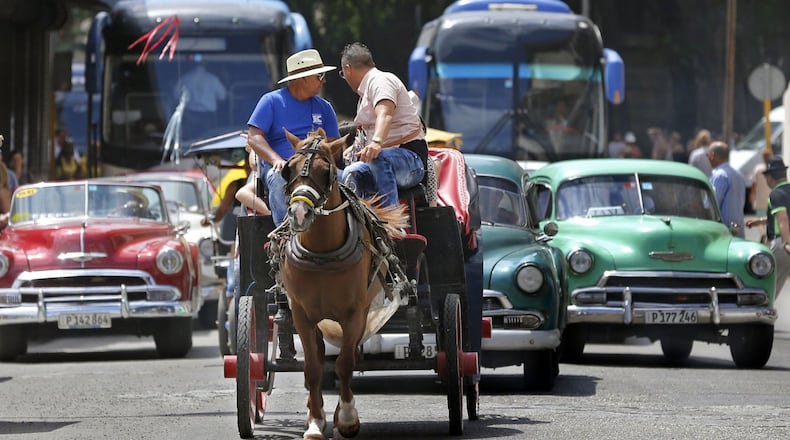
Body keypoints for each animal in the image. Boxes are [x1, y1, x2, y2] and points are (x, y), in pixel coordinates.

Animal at [273, 128, 409, 439]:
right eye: (288, 170)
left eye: (327, 172)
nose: (300, 214)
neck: (322, 253)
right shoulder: (302, 314)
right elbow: (312, 369)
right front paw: (314, 422)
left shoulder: (354, 314)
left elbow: (345, 365)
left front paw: (346, 419)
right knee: (321, 356)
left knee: (347, 356)